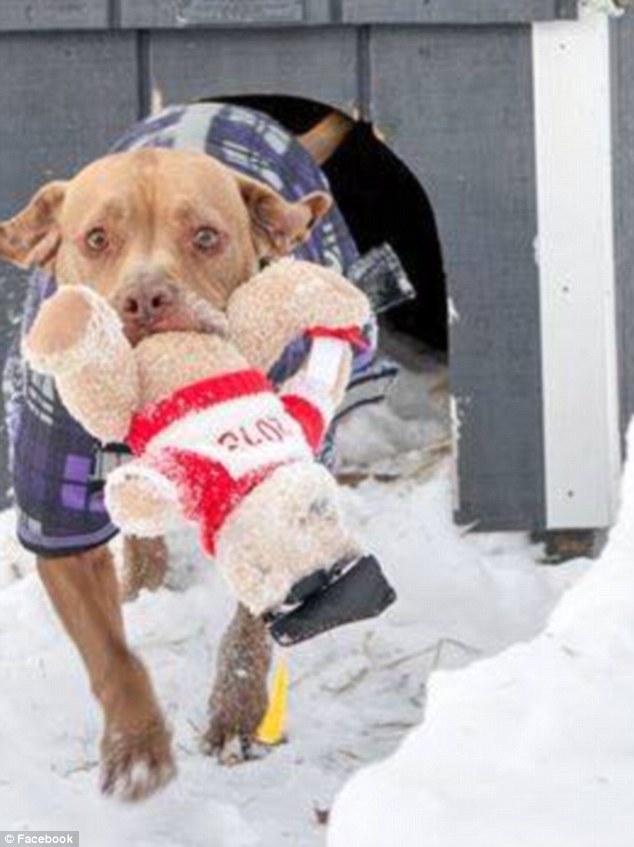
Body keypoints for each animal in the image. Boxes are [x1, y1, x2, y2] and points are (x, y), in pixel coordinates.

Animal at [0, 146, 330, 800]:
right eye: (96, 238)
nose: (146, 299)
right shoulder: (60, 527)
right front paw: (136, 747)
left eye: (205, 236)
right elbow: (111, 653)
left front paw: (236, 713)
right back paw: (141, 584)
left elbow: (250, 622)